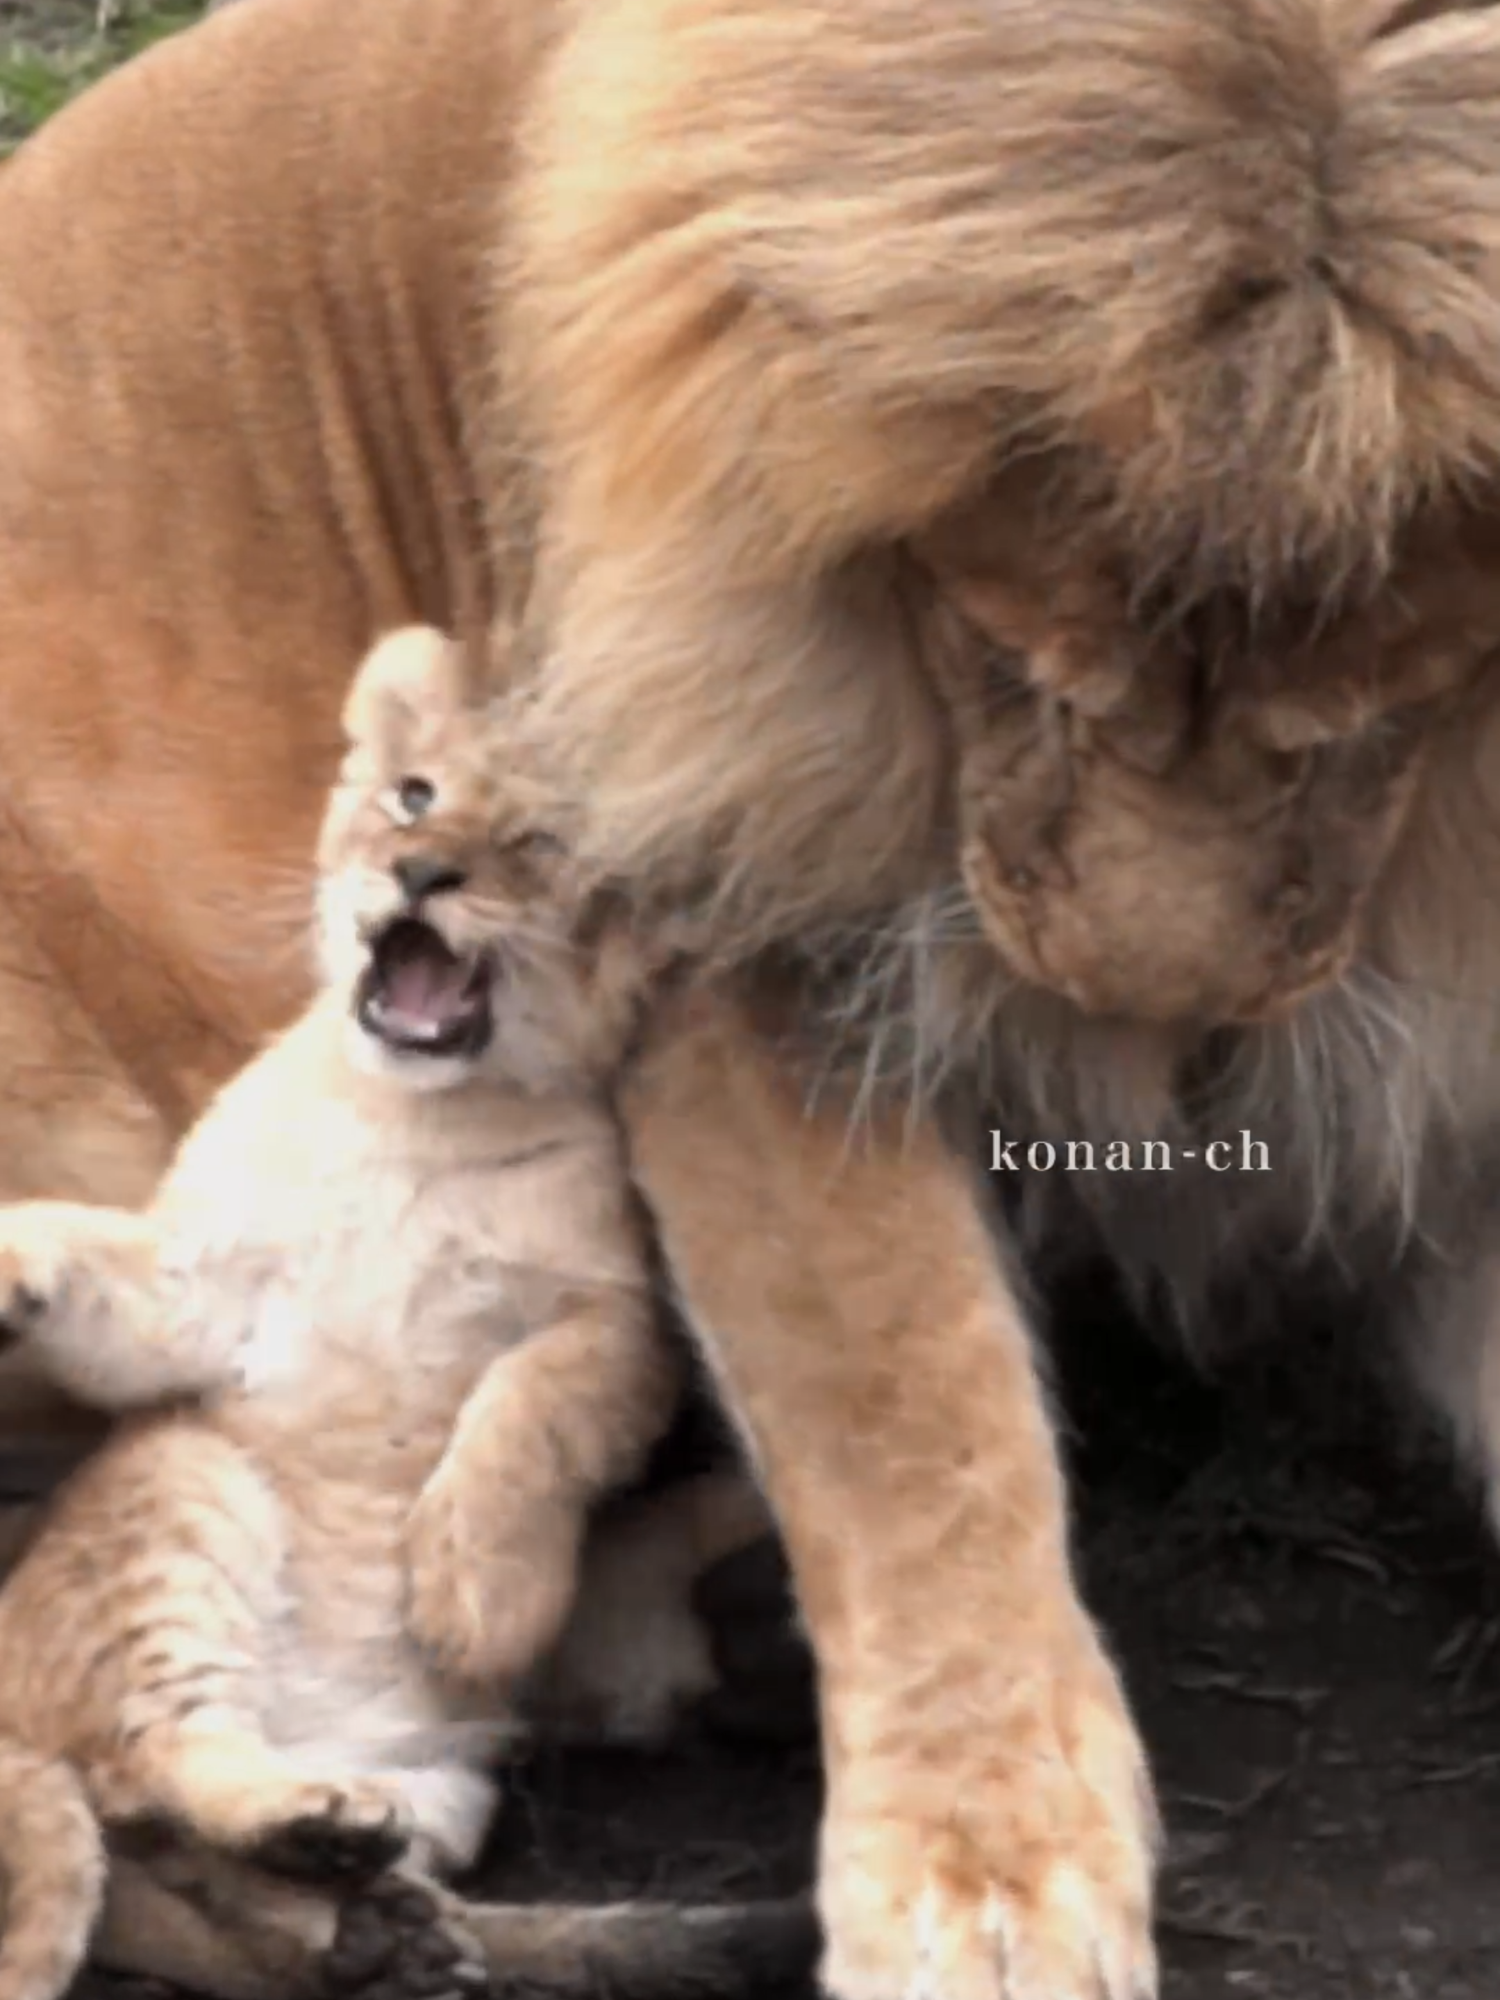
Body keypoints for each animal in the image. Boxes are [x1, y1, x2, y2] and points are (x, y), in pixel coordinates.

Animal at [8, 3, 1500, 2000]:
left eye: (1382, 714)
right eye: (1014, 661)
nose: (1147, 1033)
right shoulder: (760, 941)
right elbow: (908, 1415)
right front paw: (985, 1893)